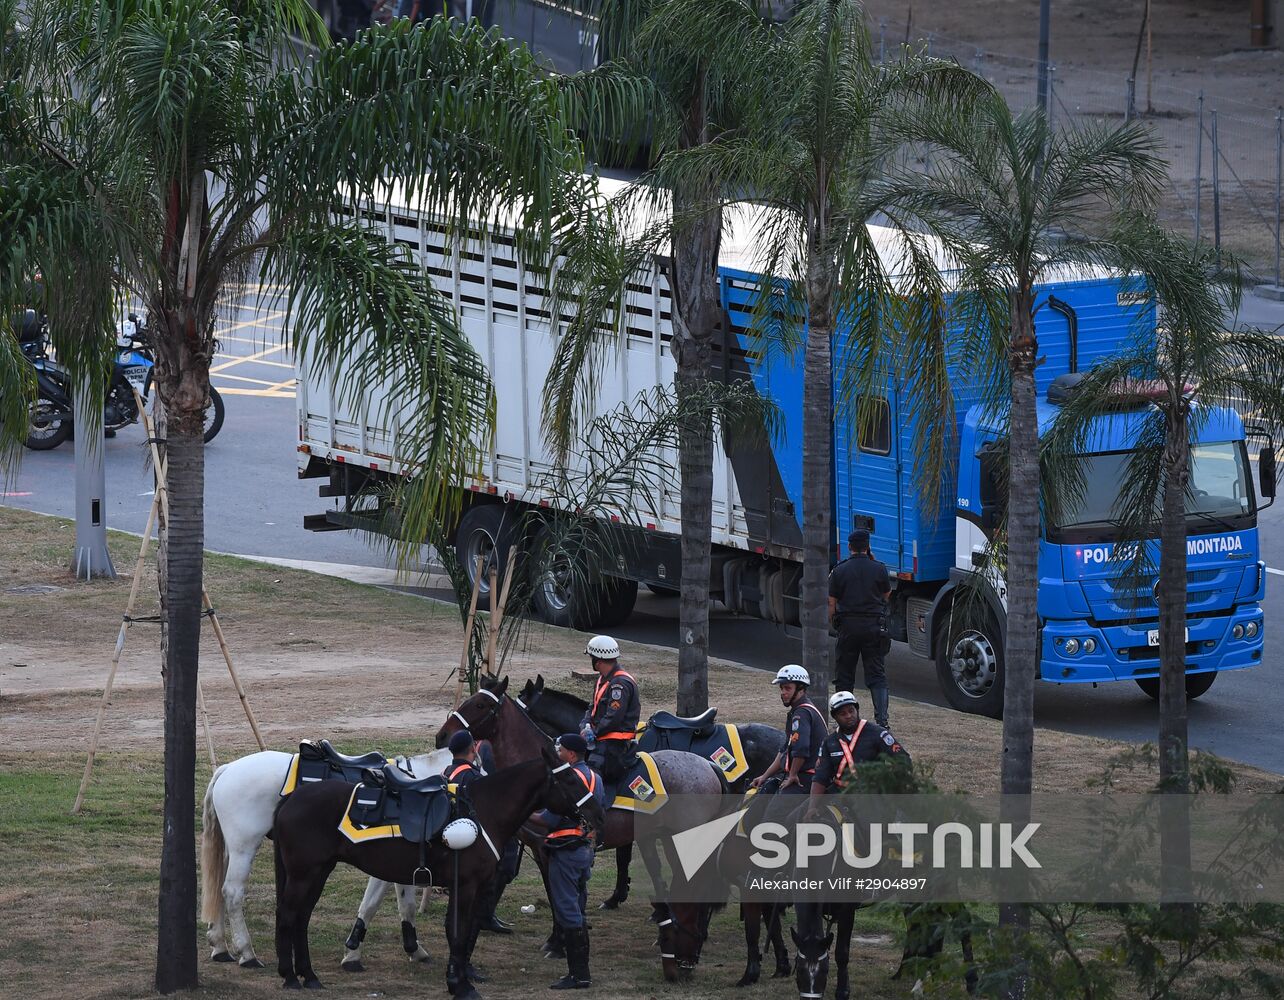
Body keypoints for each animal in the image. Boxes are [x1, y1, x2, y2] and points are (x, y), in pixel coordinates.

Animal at [193, 749, 446, 970]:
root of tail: (227, 769)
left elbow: (406, 905)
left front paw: (414, 949)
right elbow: (372, 905)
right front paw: (353, 954)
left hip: (232, 849)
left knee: (218, 888)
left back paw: (219, 946)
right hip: (244, 846)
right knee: (232, 892)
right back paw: (247, 953)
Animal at [272, 749, 600, 1000]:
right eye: (570, 778)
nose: (596, 812)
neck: (482, 811)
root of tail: (291, 798)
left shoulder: (475, 887)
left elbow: (466, 932)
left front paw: (460, 979)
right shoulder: (465, 885)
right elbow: (458, 932)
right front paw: (460, 986)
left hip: (318, 871)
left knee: (301, 918)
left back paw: (309, 975)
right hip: (304, 873)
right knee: (288, 915)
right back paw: (290, 976)